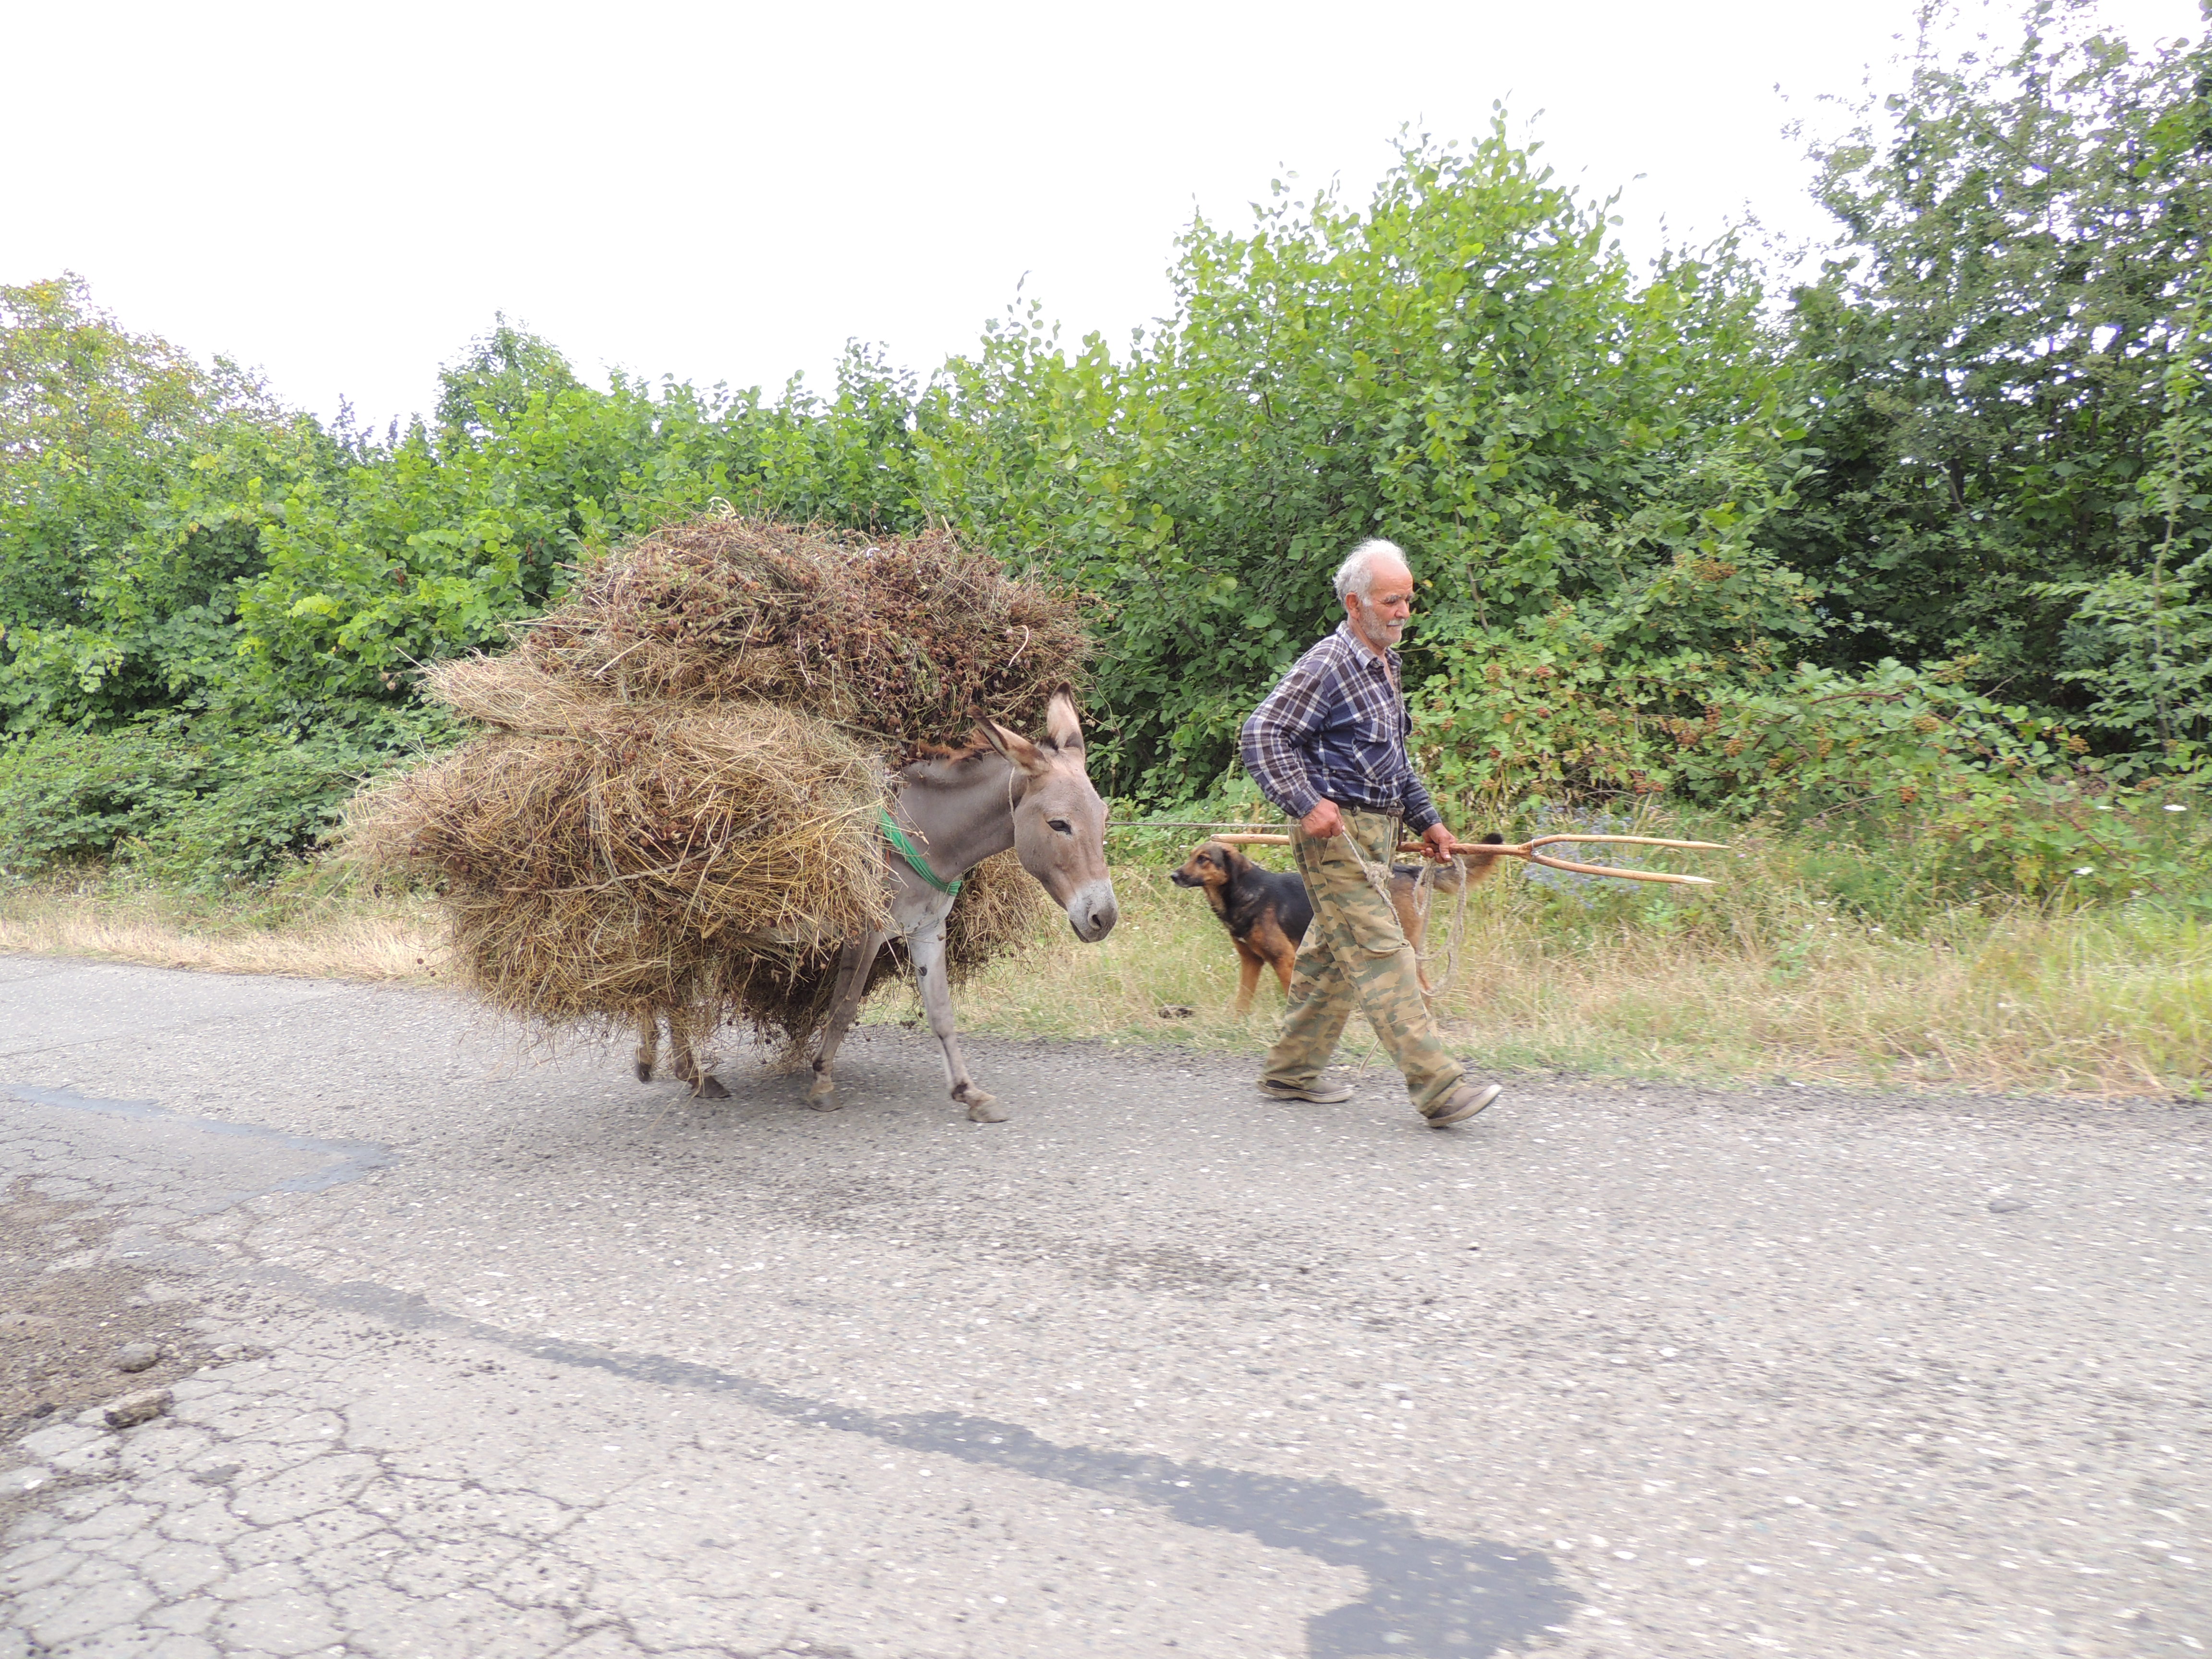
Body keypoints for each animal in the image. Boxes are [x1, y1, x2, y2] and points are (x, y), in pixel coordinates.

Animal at [1177, 836, 1504, 1022]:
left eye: (1203, 860)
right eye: (1191, 857)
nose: (1174, 875)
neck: (1242, 892)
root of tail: (1411, 870)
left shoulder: (1285, 960)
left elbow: (1291, 998)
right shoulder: (1251, 961)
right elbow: (1242, 1000)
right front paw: (1237, 1025)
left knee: (1423, 988)